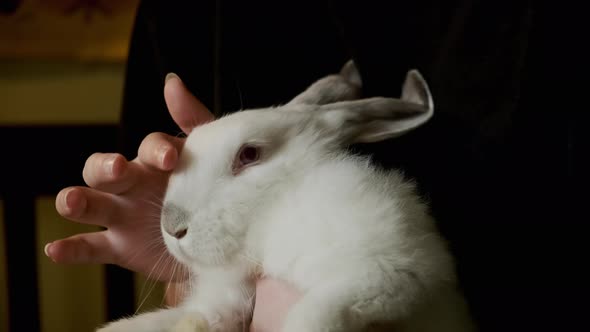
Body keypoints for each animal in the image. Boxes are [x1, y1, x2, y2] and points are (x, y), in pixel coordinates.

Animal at [97, 61, 476, 332]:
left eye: (249, 155)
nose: (173, 227)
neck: (275, 212)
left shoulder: (388, 275)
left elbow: (317, 314)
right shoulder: (227, 302)